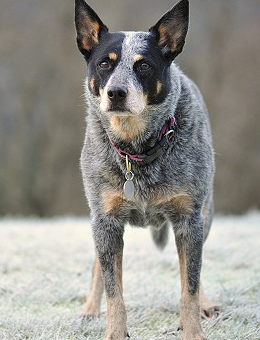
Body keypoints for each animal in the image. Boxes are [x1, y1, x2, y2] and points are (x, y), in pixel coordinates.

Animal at [74, 0, 220, 340]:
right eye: (105, 64)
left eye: (143, 66)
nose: (116, 92)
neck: (136, 151)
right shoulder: (105, 220)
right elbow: (113, 288)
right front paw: (114, 332)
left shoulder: (189, 218)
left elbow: (189, 285)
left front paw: (192, 331)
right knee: (98, 266)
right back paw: (89, 309)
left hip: (205, 213)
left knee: (193, 269)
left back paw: (206, 304)